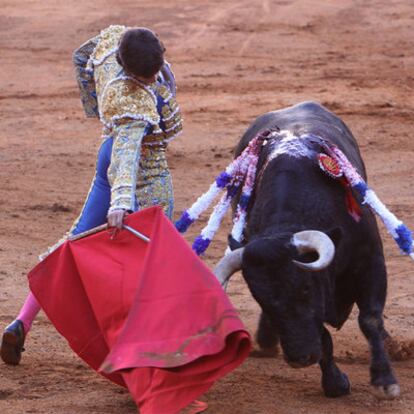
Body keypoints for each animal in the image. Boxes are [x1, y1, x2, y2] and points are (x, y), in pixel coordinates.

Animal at [220, 100, 398, 398]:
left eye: (304, 289)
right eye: (261, 299)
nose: (300, 359)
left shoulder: (371, 260)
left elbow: (370, 319)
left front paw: (385, 379)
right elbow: (322, 334)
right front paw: (335, 383)